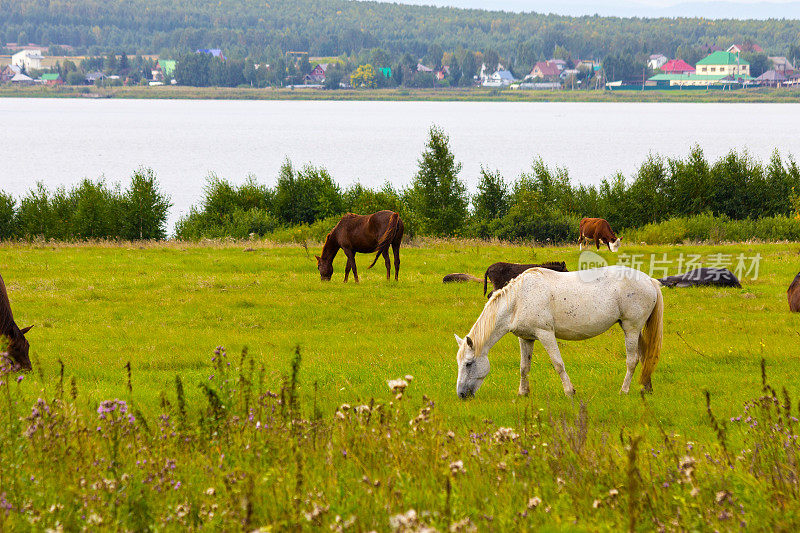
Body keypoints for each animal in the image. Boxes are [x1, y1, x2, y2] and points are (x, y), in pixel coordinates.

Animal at [454, 264, 664, 396]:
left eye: (468, 364)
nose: (461, 394)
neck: (518, 299)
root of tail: (650, 280)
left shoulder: (545, 334)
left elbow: (558, 364)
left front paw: (569, 391)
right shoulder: (526, 338)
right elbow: (524, 367)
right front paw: (523, 393)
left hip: (631, 328)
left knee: (632, 360)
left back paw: (624, 390)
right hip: (634, 330)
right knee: (644, 356)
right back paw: (646, 388)